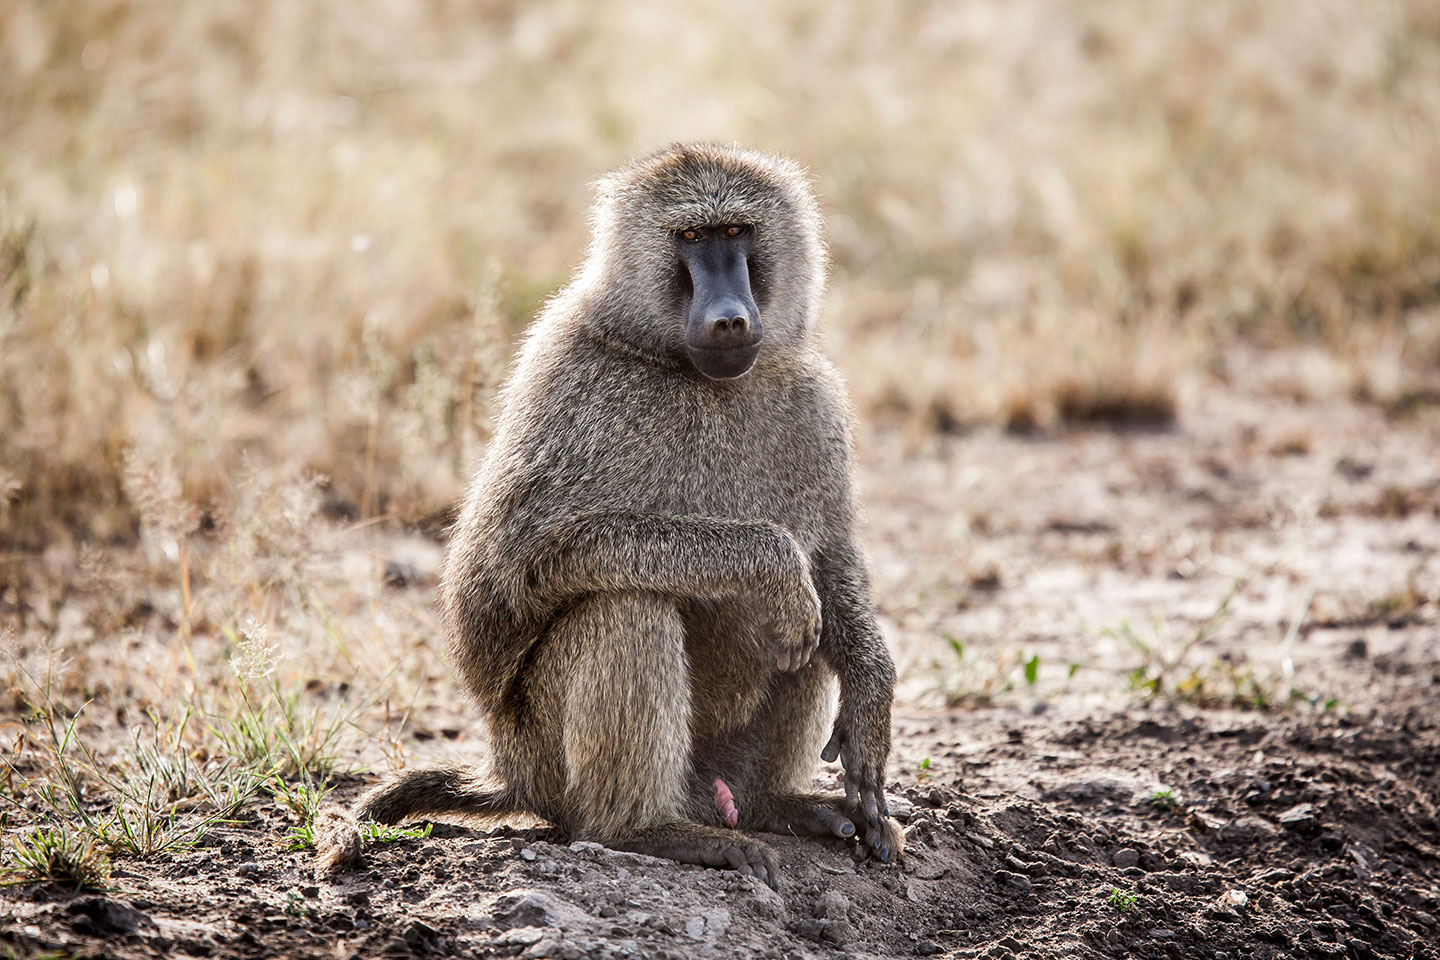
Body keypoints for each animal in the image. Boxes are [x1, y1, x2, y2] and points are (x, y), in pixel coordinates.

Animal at [316, 143, 902, 890]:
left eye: (736, 231)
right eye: (690, 237)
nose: (729, 317)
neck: (683, 367)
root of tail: (510, 772)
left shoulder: (813, 400)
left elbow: (830, 559)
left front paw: (871, 697)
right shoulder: (567, 373)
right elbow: (510, 565)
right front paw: (769, 564)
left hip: (714, 769)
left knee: (804, 630)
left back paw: (777, 804)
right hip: (545, 755)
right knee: (628, 606)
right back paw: (647, 831)